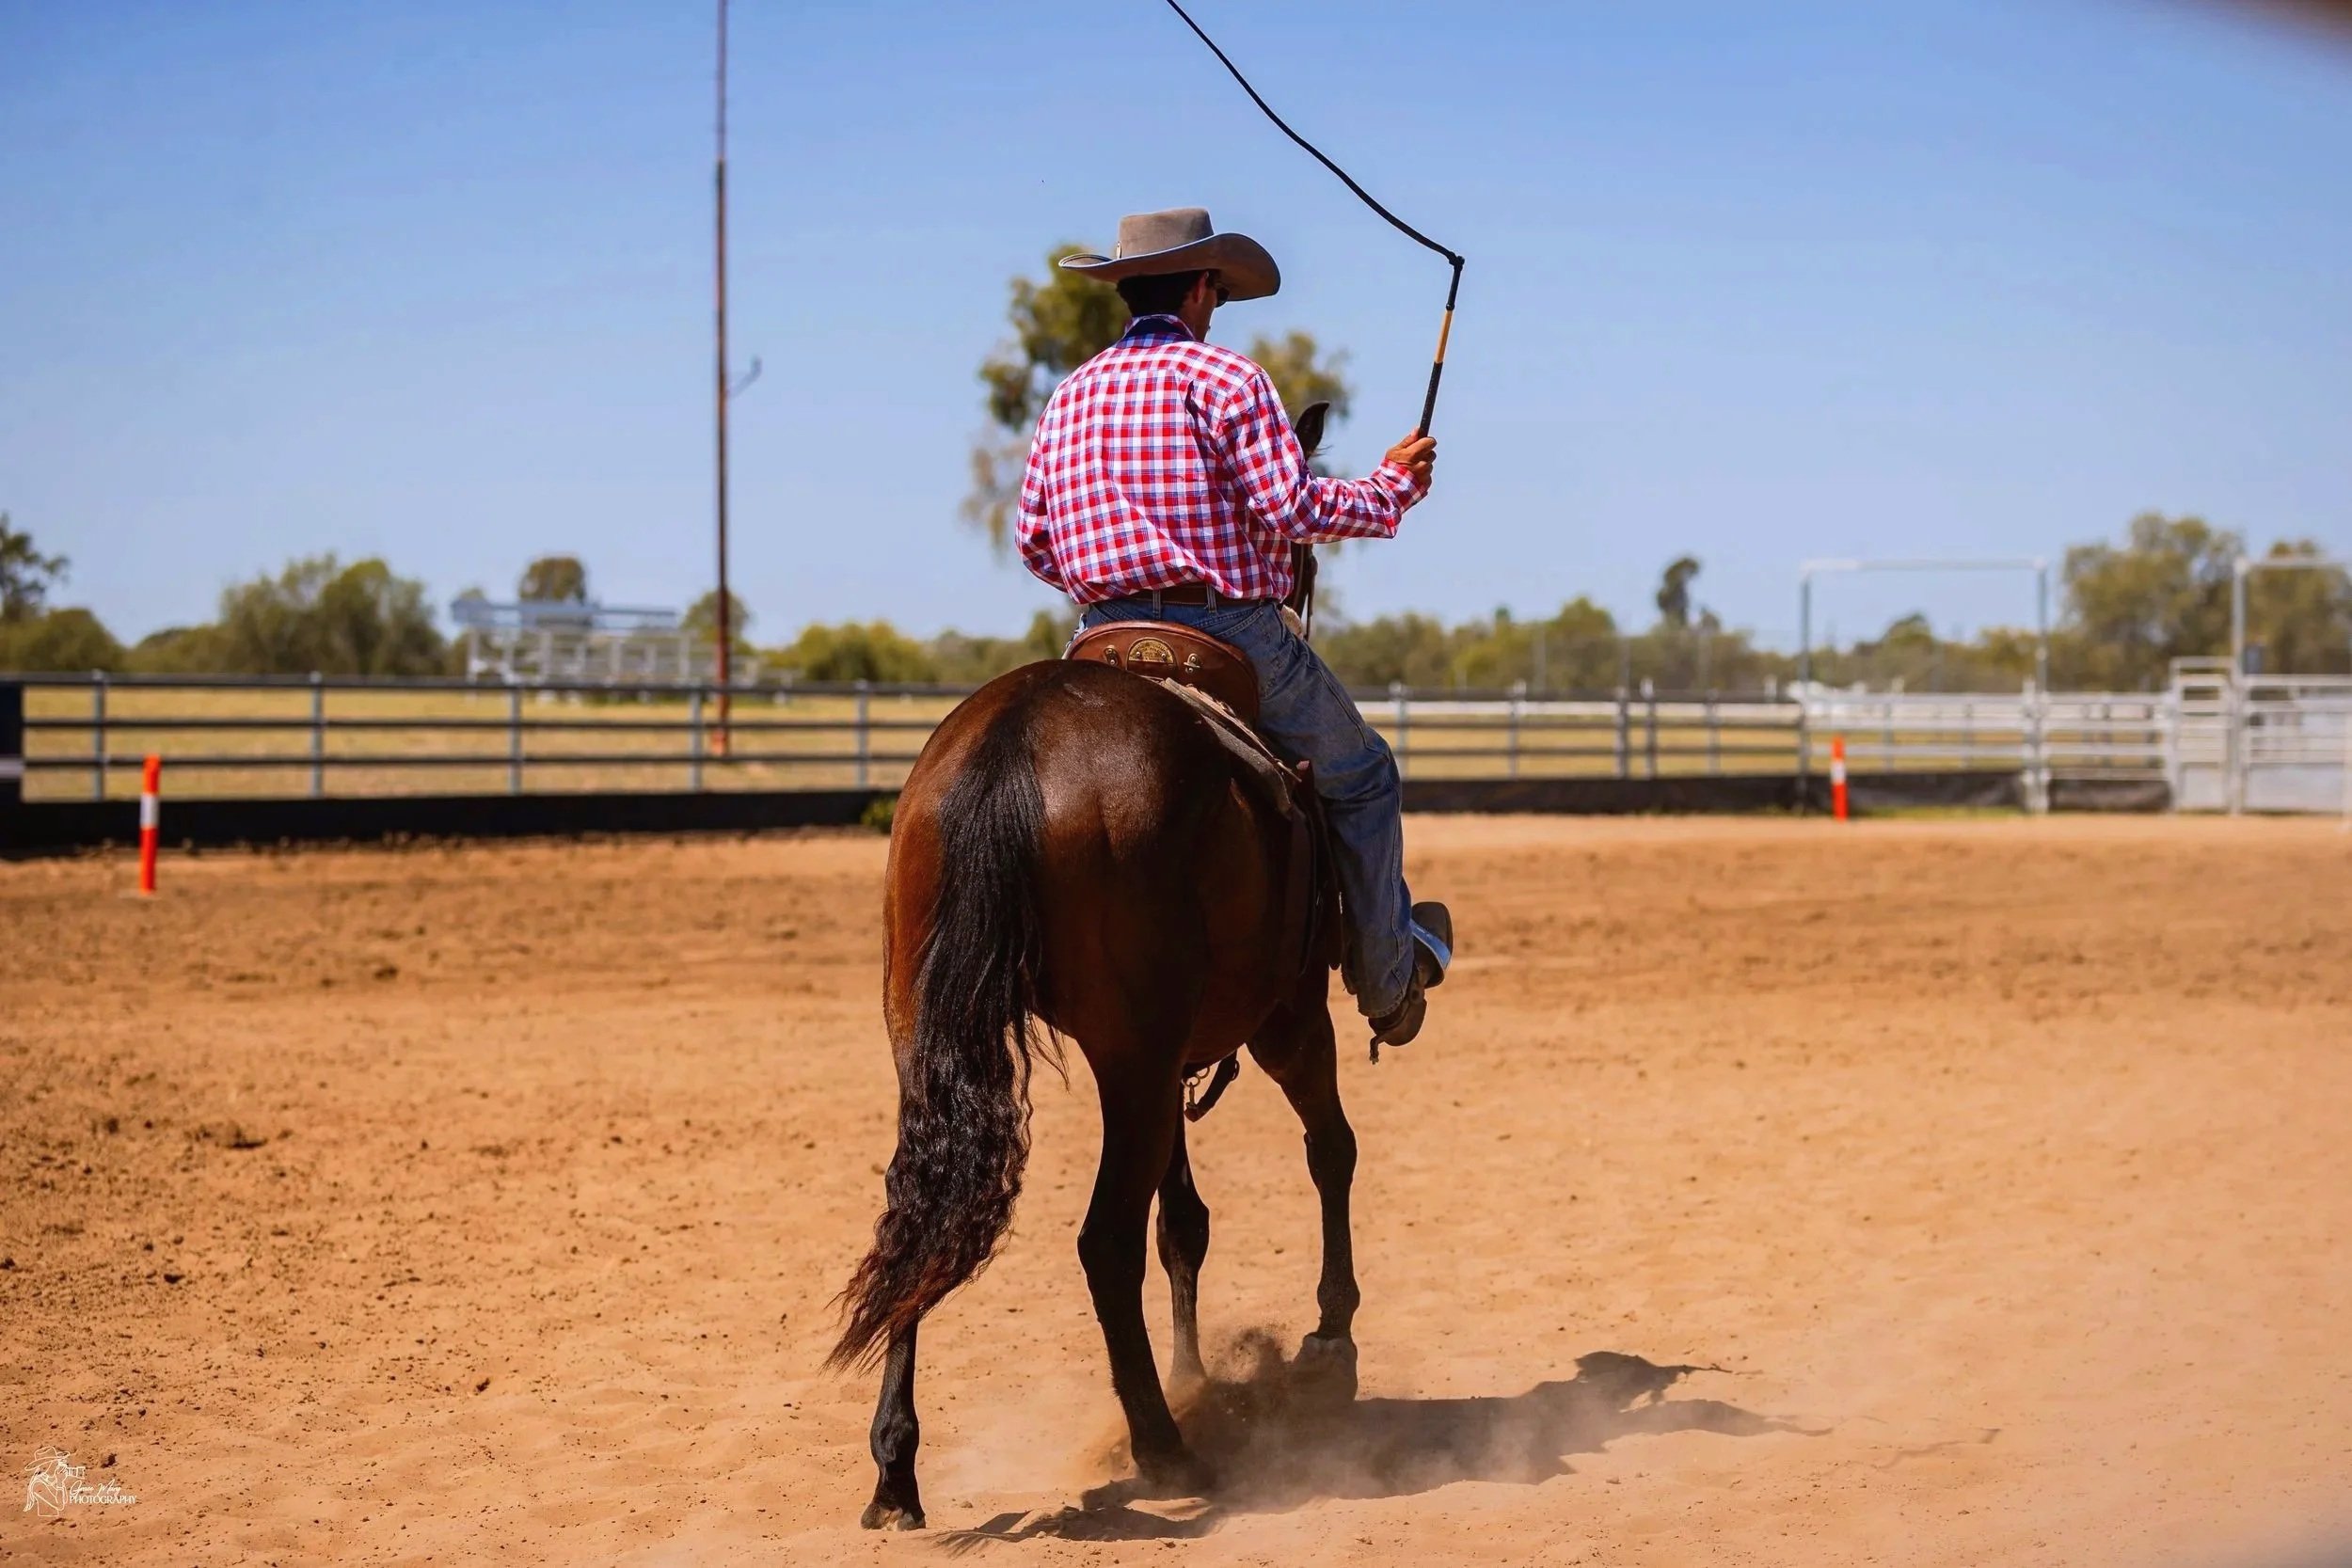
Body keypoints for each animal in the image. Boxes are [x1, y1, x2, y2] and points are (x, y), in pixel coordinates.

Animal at [825, 646, 1365, 1530]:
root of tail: (1014, 735)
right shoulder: (1288, 1013)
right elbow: (1331, 1152)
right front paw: (1332, 1337)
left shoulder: (1173, 1059)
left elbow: (1184, 1222)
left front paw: (1195, 1372)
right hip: (1142, 1053)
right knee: (1106, 1240)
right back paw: (1166, 1449)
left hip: (931, 1037)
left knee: (919, 1224)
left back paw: (895, 1474)